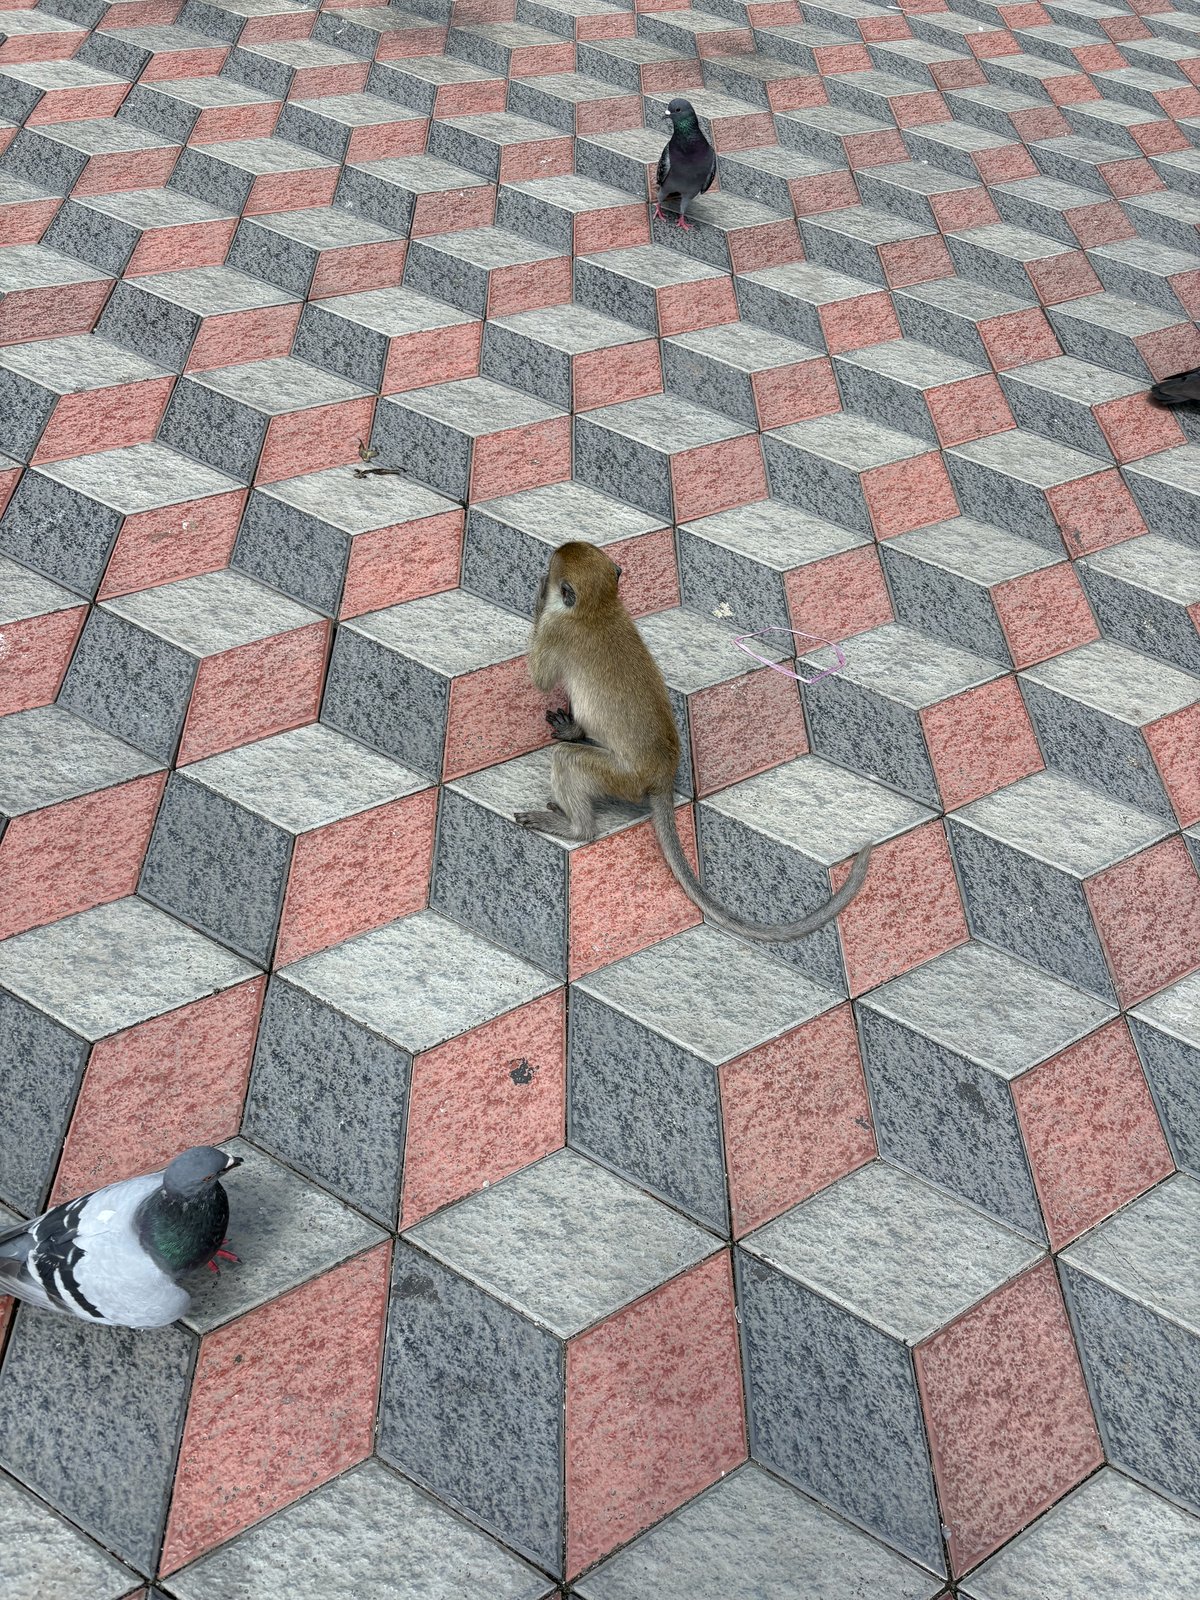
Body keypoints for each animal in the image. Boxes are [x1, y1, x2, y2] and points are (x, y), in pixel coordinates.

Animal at [515, 541, 872, 942]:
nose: (544, 576)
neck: (600, 608)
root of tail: (662, 773)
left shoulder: (554, 632)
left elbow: (541, 677)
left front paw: (540, 593)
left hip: (620, 777)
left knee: (568, 759)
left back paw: (575, 825)